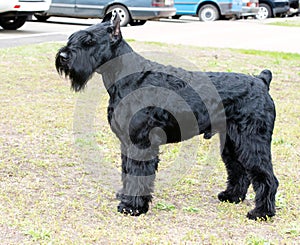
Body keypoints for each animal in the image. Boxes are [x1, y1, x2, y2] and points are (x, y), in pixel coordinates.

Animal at [55, 12, 278, 221]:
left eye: (89, 41)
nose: (63, 56)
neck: (127, 77)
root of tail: (261, 81)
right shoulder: (127, 143)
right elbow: (127, 171)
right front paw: (125, 196)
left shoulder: (141, 143)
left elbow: (138, 173)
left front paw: (132, 207)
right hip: (232, 143)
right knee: (239, 170)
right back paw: (232, 196)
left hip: (251, 141)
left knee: (267, 177)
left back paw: (261, 212)